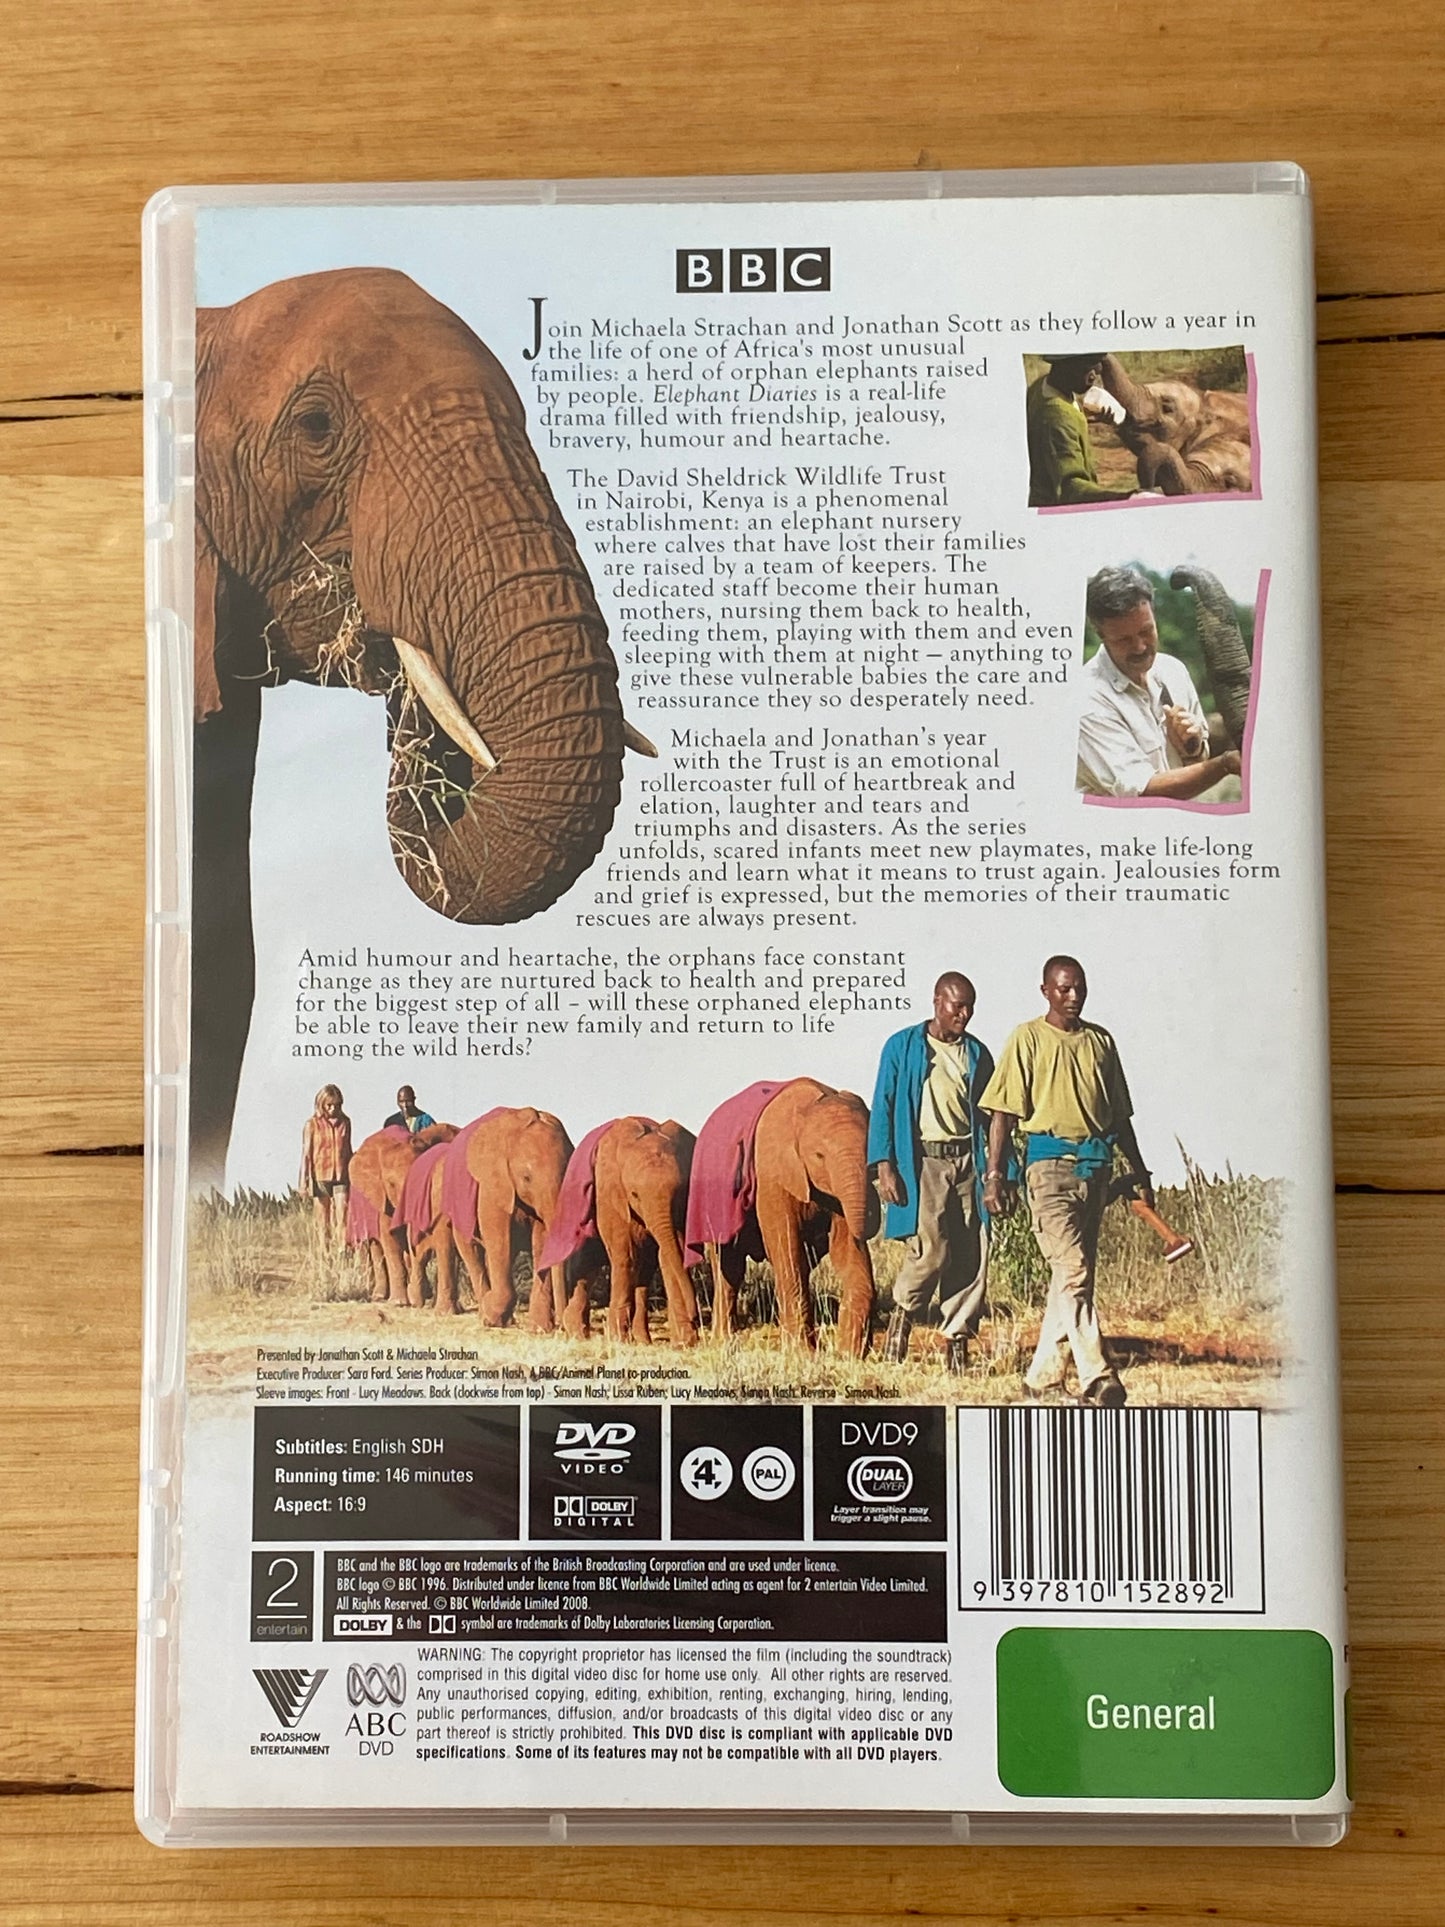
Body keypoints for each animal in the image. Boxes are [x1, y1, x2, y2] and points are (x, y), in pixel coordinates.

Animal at [347, 1121, 458, 1306]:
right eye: (391, 1184)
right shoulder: (382, 1196)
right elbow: (390, 1237)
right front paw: (399, 1302)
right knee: (376, 1246)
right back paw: (380, 1296)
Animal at [557, 1118, 700, 1347]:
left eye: (679, 1191)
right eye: (634, 1194)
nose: (695, 1317)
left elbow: (668, 1256)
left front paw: (686, 1342)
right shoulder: (609, 1193)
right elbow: (627, 1255)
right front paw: (619, 1339)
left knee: (644, 1269)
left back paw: (643, 1340)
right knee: (587, 1263)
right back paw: (576, 1334)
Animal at [705, 1078, 877, 1356]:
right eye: (819, 1155)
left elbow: (848, 1252)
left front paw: (849, 1354)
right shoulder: (772, 1176)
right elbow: (787, 1250)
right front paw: (803, 1353)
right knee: (728, 1264)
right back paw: (723, 1343)